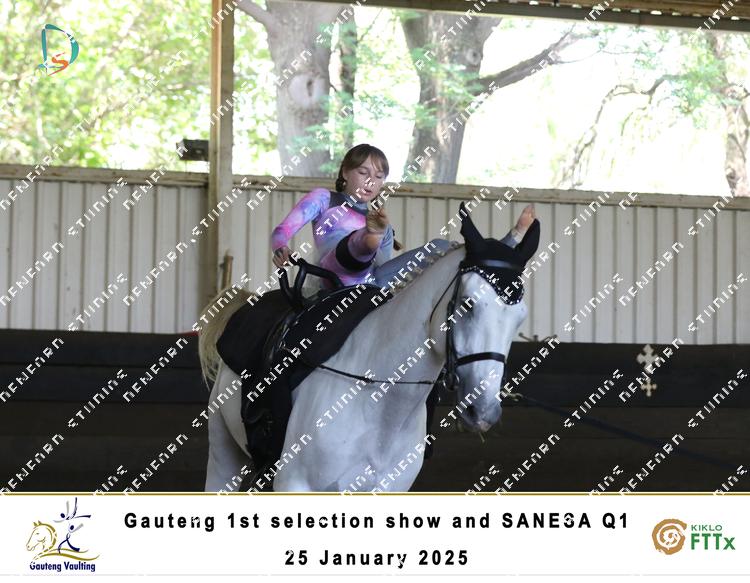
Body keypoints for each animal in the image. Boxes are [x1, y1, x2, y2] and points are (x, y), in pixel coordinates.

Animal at [198, 204, 540, 492]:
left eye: (520, 318)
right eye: (468, 304)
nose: (482, 410)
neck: (379, 399)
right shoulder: (294, 485)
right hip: (223, 457)